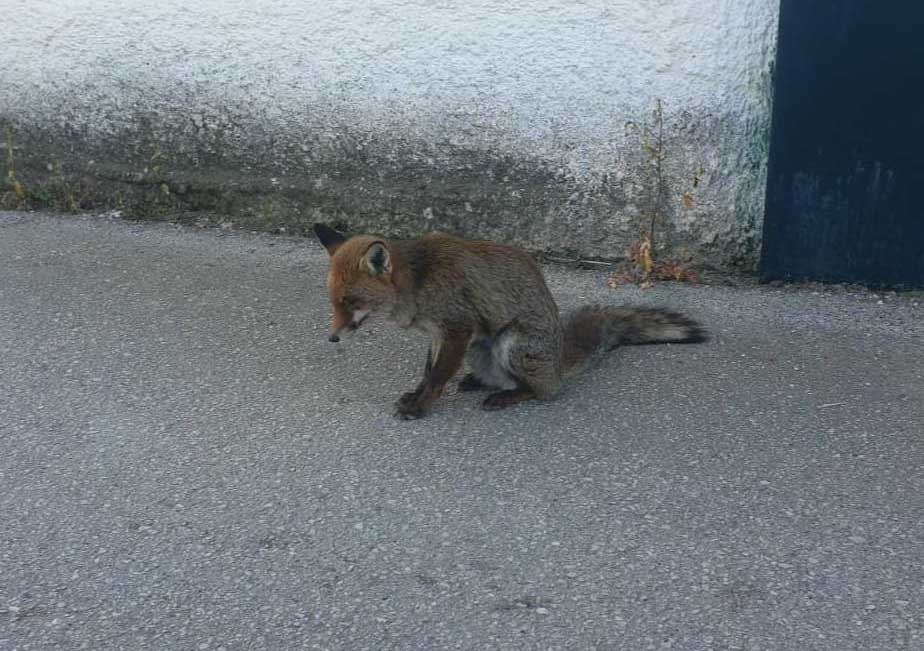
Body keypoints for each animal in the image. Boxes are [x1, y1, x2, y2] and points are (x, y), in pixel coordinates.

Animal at [312, 222, 708, 420]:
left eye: (350, 302)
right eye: (332, 301)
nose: (332, 338)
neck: (419, 282)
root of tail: (558, 362)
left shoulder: (457, 327)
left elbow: (437, 376)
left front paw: (420, 407)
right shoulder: (440, 334)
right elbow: (429, 371)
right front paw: (417, 393)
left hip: (511, 343)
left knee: (543, 391)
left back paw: (508, 395)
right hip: (479, 348)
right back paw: (479, 382)